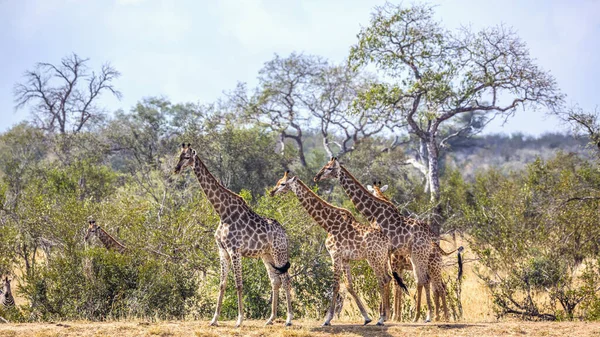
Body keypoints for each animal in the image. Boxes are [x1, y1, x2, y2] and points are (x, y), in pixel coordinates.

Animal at [173, 142, 292, 326]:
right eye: (179, 155)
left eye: (186, 157)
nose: (176, 169)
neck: (223, 213)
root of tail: (284, 233)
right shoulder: (222, 251)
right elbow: (222, 284)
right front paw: (214, 319)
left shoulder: (234, 250)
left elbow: (238, 284)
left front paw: (239, 320)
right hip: (267, 255)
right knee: (275, 280)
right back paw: (270, 318)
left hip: (279, 252)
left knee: (286, 280)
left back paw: (288, 319)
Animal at [272, 172, 408, 324]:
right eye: (278, 181)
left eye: (283, 183)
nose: (272, 192)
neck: (328, 224)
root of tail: (387, 242)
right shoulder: (345, 258)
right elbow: (348, 285)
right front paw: (366, 317)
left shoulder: (335, 255)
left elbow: (335, 285)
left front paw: (327, 319)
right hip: (381, 259)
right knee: (388, 279)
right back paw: (383, 316)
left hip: (374, 259)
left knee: (383, 280)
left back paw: (382, 318)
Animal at [314, 159, 436, 322]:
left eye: (329, 168)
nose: (316, 177)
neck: (373, 213)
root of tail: (431, 233)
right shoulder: (385, 251)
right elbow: (388, 280)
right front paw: (385, 314)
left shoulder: (384, 250)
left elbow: (385, 280)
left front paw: (384, 314)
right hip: (416, 255)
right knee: (423, 279)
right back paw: (424, 315)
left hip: (419, 254)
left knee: (424, 279)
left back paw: (428, 315)